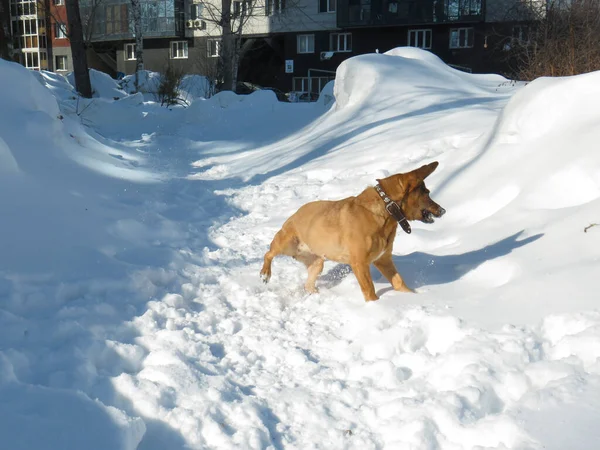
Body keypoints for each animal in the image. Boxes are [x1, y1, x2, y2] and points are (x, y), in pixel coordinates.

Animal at [258, 163, 446, 302]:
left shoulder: (383, 259)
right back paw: (265, 273)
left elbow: (399, 282)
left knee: (308, 284)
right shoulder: (360, 263)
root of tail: (294, 214)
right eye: (427, 193)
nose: (443, 211)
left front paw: (411, 297)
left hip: (317, 262)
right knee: (268, 253)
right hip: (287, 243)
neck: (387, 209)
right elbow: (369, 291)